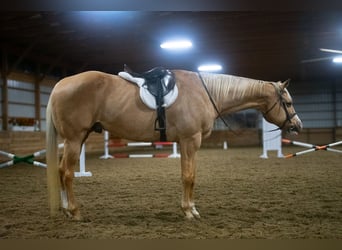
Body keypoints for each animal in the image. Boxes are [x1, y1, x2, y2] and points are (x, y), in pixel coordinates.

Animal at [45, 69, 302, 220]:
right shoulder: (189, 141)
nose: (297, 126)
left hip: (78, 139)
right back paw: (75, 211)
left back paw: (66, 209)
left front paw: (192, 208)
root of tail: (59, 85)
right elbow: (188, 176)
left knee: (60, 171)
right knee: (67, 173)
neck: (205, 93)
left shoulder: (191, 144)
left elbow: (191, 176)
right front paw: (188, 211)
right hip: (74, 139)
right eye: (288, 103)